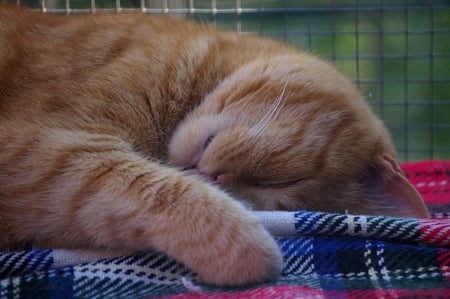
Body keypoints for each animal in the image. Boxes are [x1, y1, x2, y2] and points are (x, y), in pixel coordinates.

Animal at [0, 7, 428, 288]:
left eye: (268, 192)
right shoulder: (41, 148)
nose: (218, 177)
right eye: (285, 180)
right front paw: (254, 252)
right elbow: (154, 188)